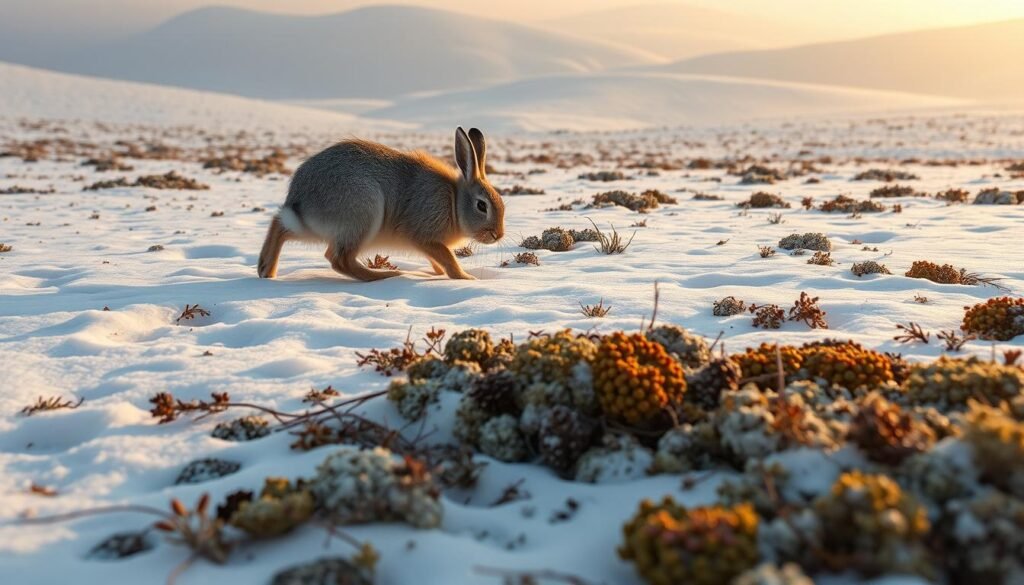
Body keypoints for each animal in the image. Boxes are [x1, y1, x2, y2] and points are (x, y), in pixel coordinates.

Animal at [258, 127, 504, 281]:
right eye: (482, 206)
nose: (498, 235)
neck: (454, 202)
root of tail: (300, 199)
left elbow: (438, 260)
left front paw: (438, 273)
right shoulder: (424, 235)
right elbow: (447, 258)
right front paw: (464, 277)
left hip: (312, 227)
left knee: (280, 224)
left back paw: (266, 270)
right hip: (364, 213)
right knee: (338, 259)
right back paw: (383, 276)